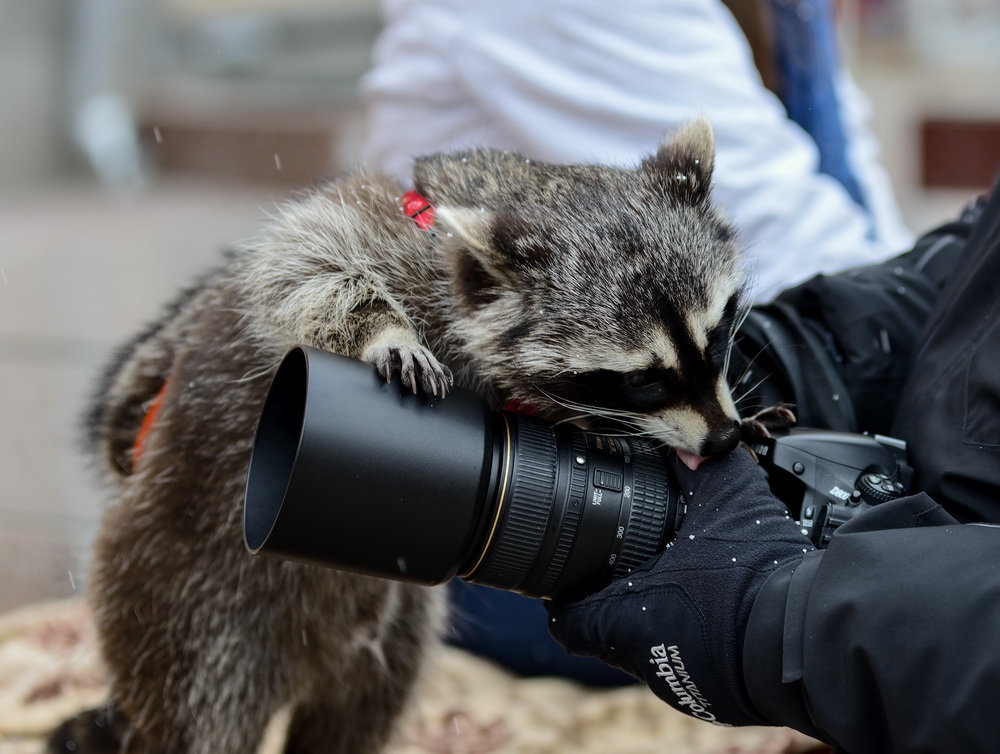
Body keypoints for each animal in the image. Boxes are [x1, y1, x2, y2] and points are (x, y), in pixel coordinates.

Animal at [48, 119, 780, 752]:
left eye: (719, 332)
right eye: (641, 380)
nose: (721, 439)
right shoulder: (367, 223)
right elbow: (297, 263)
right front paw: (382, 330)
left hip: (389, 638)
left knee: (360, 714)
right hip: (185, 603)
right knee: (200, 709)